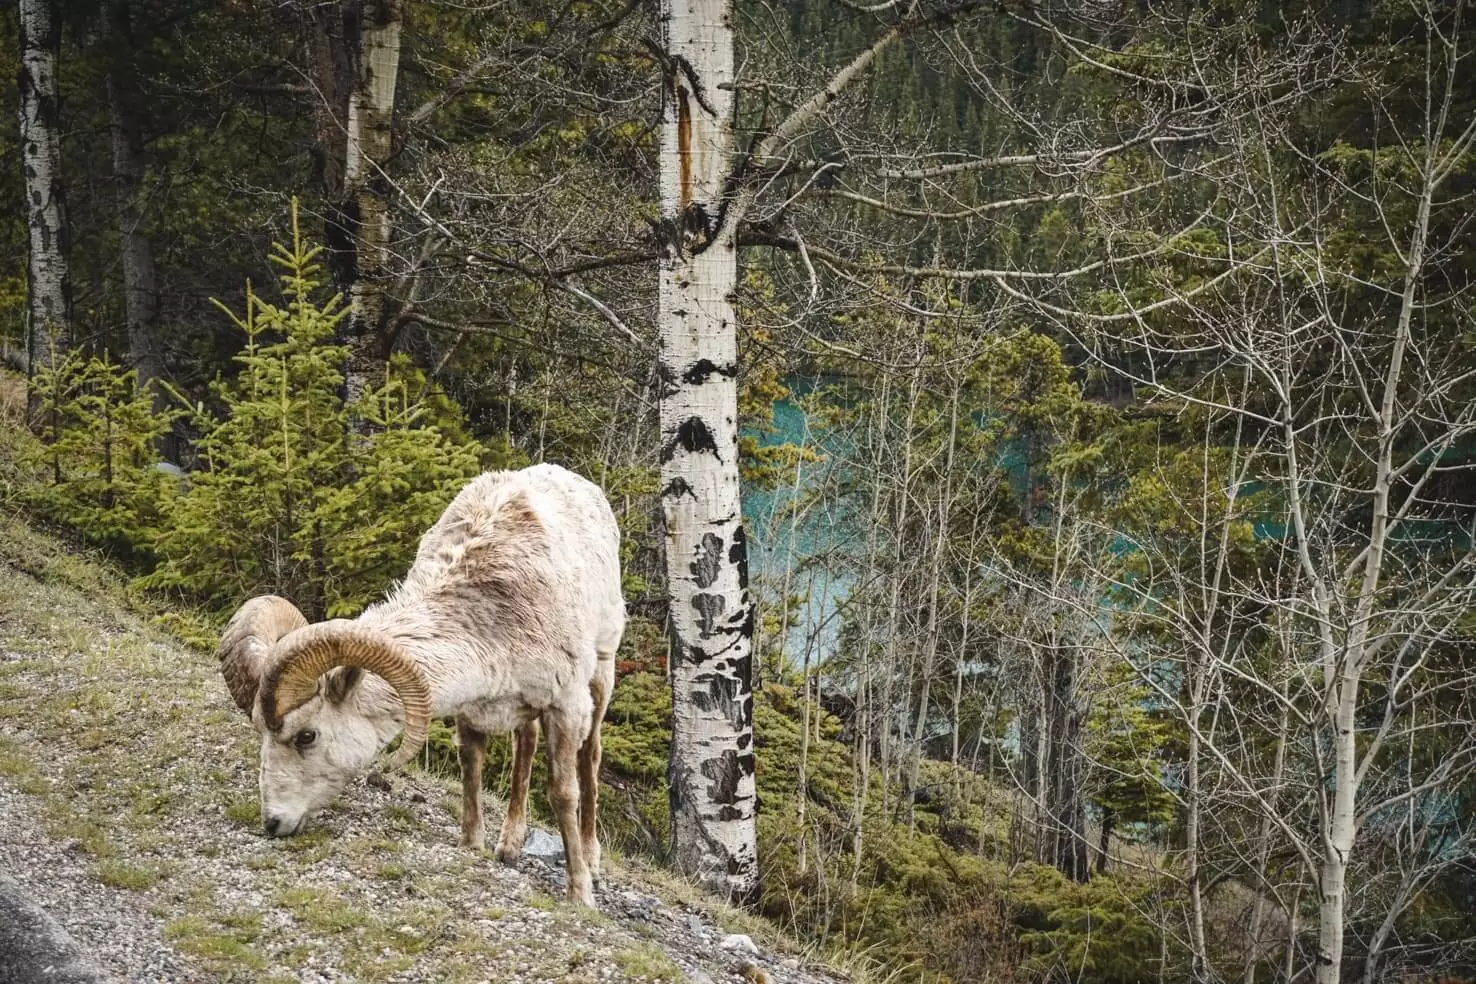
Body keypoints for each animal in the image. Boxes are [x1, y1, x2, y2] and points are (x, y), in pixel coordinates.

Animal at [215, 466, 622, 902]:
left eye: (306, 736)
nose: (272, 823)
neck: (494, 618)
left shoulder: (566, 707)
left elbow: (563, 793)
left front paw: (580, 894)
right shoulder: (473, 712)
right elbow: (472, 767)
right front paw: (473, 845)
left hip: (602, 673)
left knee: (590, 756)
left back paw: (592, 860)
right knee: (524, 746)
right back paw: (509, 846)